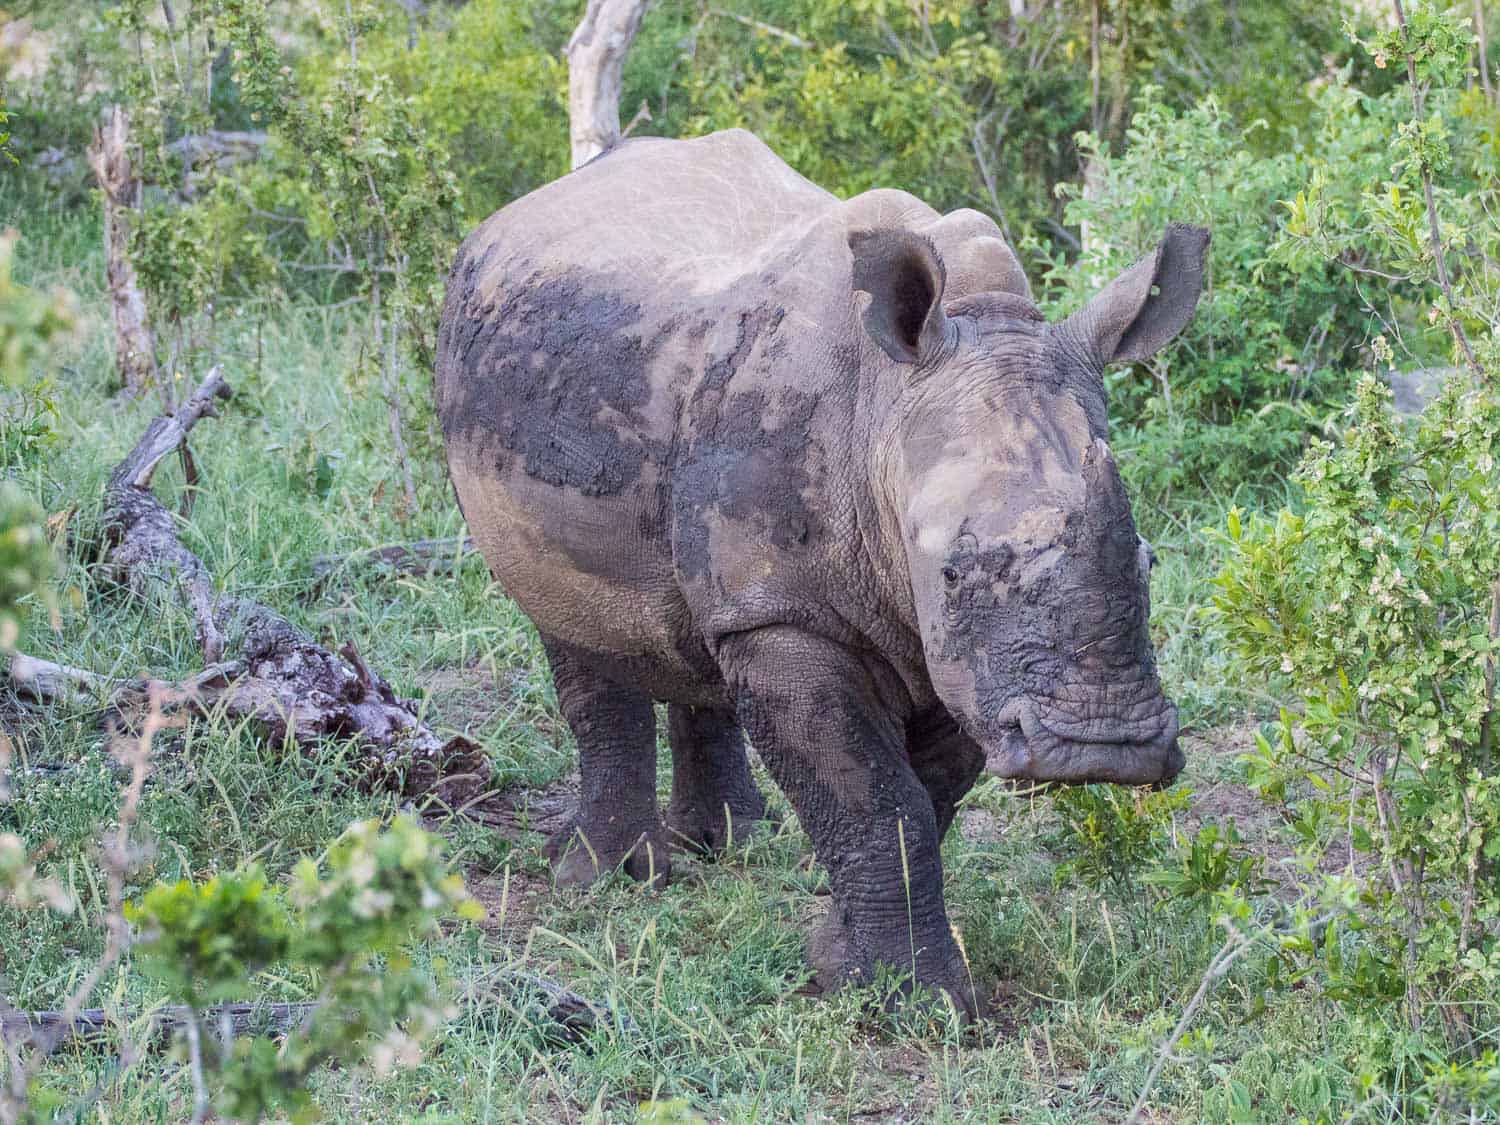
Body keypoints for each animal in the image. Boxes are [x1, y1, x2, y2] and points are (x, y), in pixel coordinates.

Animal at [435, 129, 1206, 1014]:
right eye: (950, 572)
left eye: (1149, 561)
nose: (1103, 749)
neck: (888, 403)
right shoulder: (790, 615)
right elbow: (874, 798)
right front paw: (910, 1000)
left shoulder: (957, 661)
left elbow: (920, 798)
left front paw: (846, 964)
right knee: (574, 626)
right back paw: (606, 878)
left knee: (693, 624)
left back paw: (730, 845)